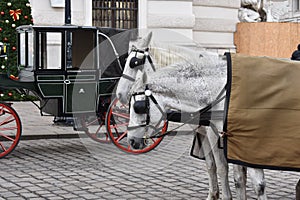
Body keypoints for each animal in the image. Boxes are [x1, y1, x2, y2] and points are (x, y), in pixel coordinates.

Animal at [117, 32, 268, 198]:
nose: (120, 94)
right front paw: (213, 195)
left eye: (134, 63)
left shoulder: (216, 135)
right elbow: (212, 165)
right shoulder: (203, 132)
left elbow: (226, 169)